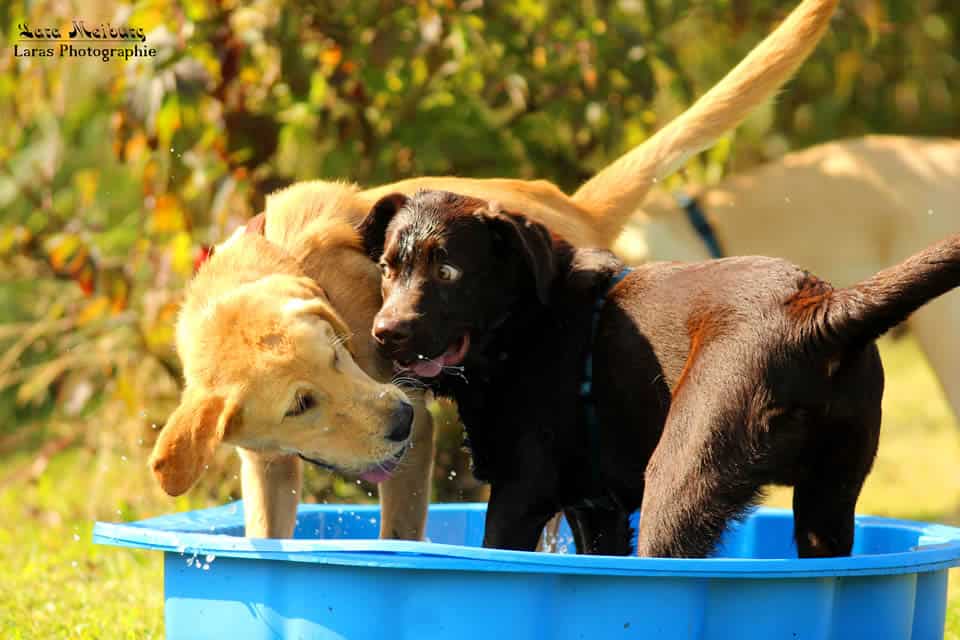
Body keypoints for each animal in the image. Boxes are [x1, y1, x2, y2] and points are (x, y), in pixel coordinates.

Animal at [148, 0, 840, 540]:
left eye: (338, 354)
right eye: (301, 403)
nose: (397, 420)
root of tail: (572, 205)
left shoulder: (416, 443)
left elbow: (402, 530)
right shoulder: (268, 465)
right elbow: (269, 532)